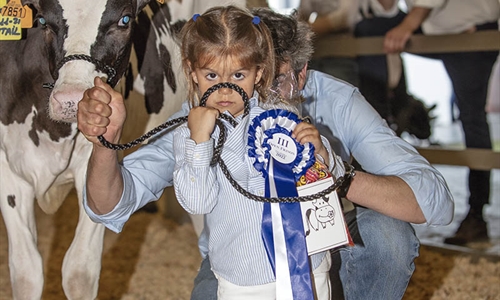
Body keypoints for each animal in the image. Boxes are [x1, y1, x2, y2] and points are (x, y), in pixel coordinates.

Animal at [0, 0, 150, 298]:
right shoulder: (7, 169)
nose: (71, 100)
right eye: (42, 21)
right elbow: (26, 272)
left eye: (125, 20)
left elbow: (79, 271)